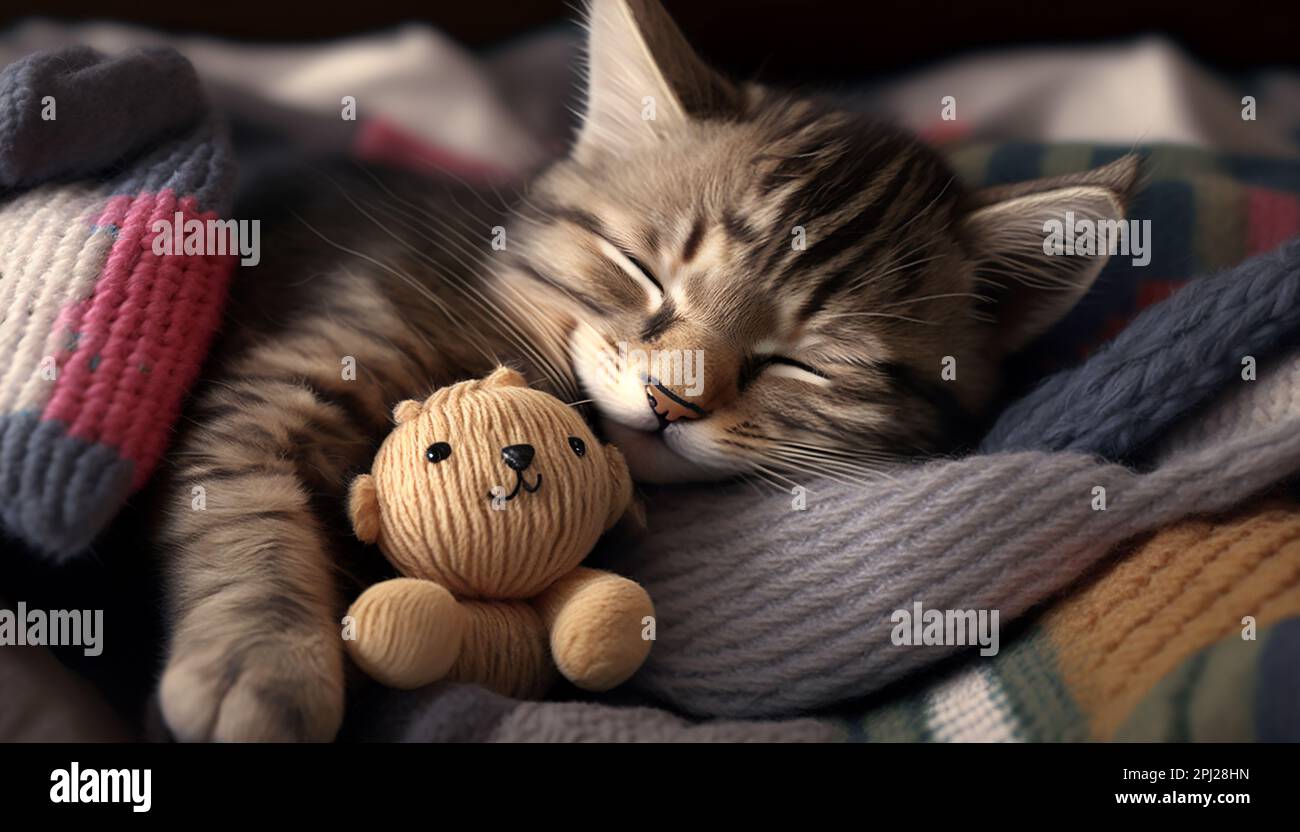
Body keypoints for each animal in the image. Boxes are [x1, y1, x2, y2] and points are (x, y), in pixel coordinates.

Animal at [154, 0, 1138, 738]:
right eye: (640, 271)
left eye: (805, 365)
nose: (672, 398)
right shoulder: (306, 364)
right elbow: (247, 493)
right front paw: (262, 664)